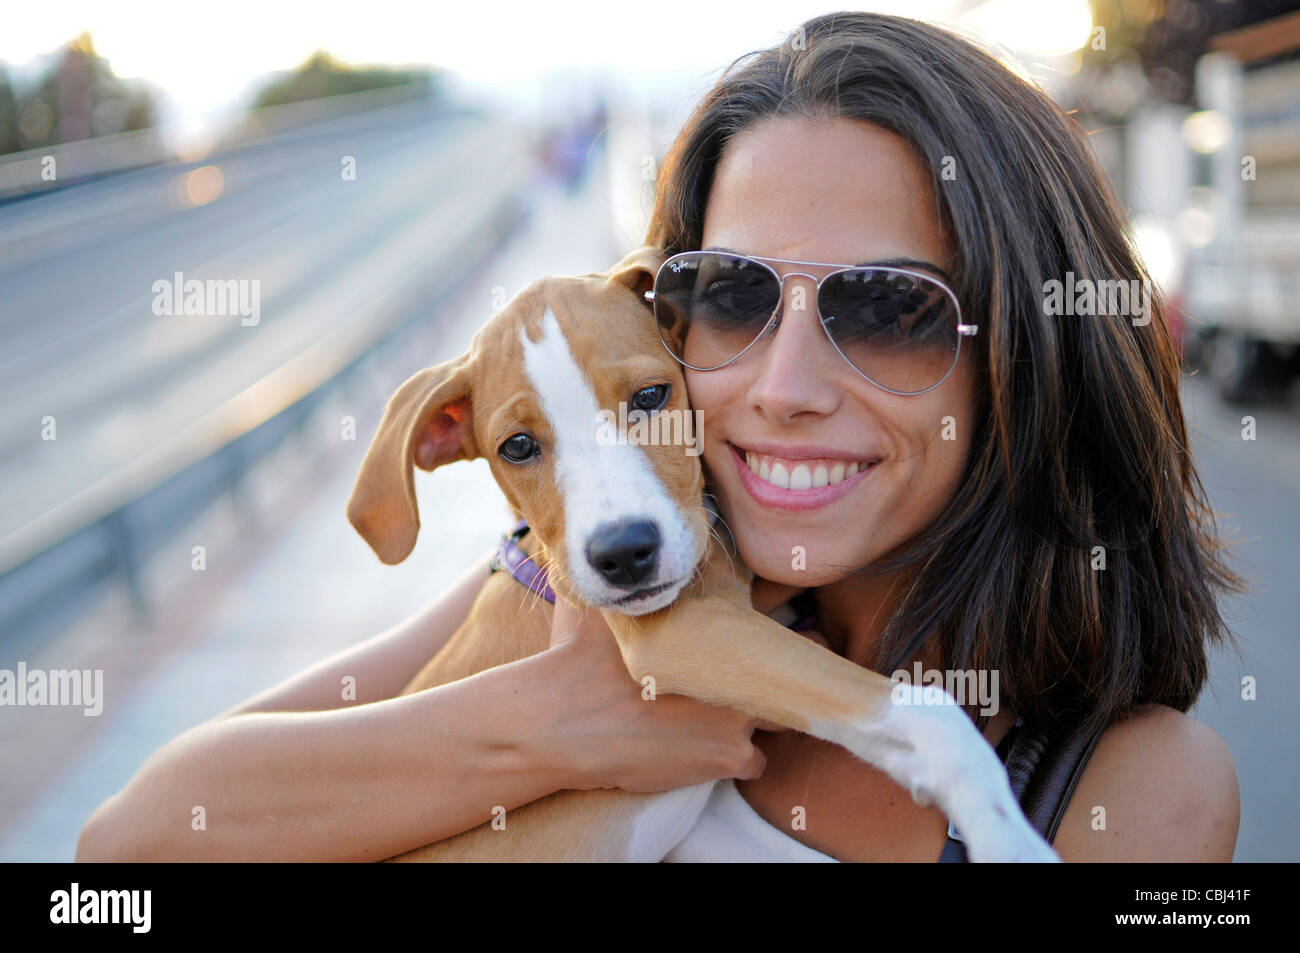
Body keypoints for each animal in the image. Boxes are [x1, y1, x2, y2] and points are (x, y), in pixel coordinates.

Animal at [351, 245, 1060, 863]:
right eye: (518, 447)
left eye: (651, 396)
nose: (624, 554)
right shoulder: (673, 635)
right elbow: (928, 714)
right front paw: (1008, 836)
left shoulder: (707, 823)